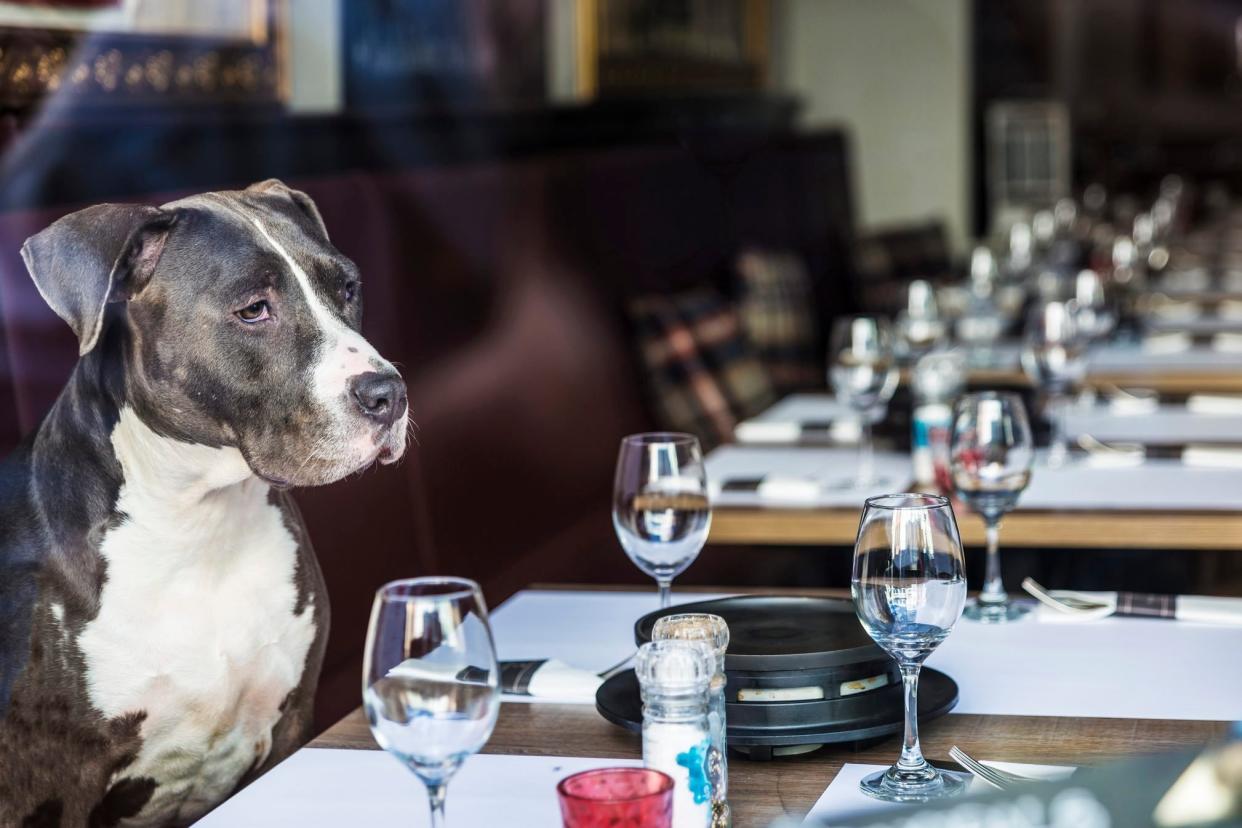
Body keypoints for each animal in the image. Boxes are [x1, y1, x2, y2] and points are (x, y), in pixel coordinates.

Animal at [0, 182, 409, 828]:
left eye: (347, 288)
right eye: (253, 310)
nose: (389, 393)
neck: (198, 526)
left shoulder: (291, 724)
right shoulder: (60, 786)